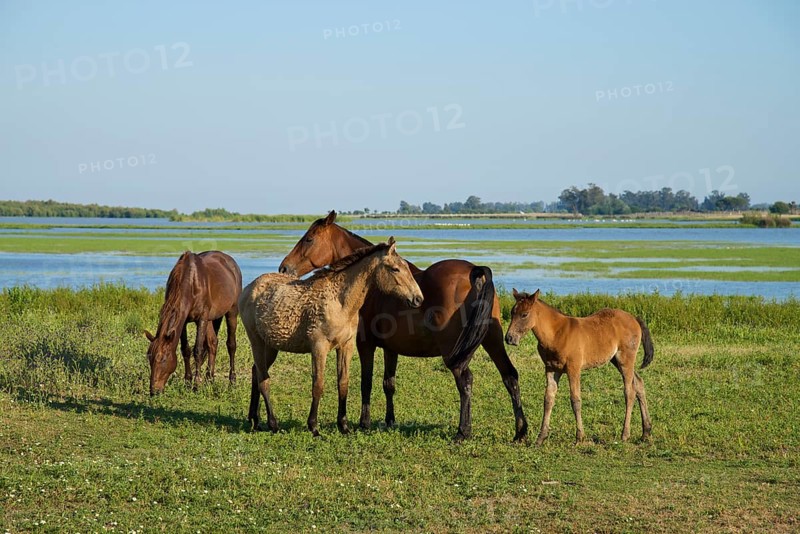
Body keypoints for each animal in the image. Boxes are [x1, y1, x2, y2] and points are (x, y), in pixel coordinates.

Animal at [145, 251, 242, 396]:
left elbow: (198, 350)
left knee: (231, 345)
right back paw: (209, 379)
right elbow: (185, 349)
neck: (191, 282)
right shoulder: (184, 321)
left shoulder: (201, 318)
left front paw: (196, 385)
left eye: (163, 359)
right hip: (211, 319)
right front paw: (187, 381)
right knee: (213, 343)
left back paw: (232, 381)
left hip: (231, 312)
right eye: (149, 358)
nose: (154, 391)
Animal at [239, 239, 424, 436]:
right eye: (395, 269)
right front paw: (313, 426)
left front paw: (343, 425)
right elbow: (318, 385)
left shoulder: (346, 346)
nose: (418, 299)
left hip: (271, 346)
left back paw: (255, 420)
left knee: (256, 373)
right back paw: (273, 424)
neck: (340, 301)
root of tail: (249, 288)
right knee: (264, 380)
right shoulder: (319, 347)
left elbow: (343, 383)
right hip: (257, 342)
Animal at [278, 211, 528, 442]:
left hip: (454, 351)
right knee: (510, 376)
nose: (284, 268)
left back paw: (462, 431)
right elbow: (388, 383)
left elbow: (366, 382)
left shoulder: (365, 345)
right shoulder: (392, 348)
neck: (372, 285)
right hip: (492, 341)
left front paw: (364, 422)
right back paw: (521, 431)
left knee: (466, 381)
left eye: (309, 239)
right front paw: (390, 421)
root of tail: (475, 270)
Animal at [505, 289, 653, 445]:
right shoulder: (551, 369)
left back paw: (625, 434)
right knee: (639, 383)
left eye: (524, 314)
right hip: (616, 360)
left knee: (629, 391)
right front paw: (540, 438)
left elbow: (575, 400)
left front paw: (580, 437)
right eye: (512, 313)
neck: (556, 334)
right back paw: (646, 432)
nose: (509, 338)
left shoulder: (573, 368)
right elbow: (548, 399)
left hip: (625, 359)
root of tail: (634, 319)